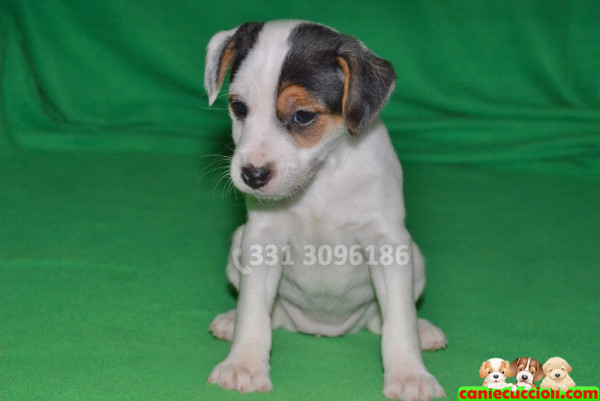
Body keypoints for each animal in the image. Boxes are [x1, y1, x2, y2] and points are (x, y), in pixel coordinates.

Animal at [205, 19, 446, 400]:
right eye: (239, 108)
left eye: (303, 115)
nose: (252, 175)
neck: (320, 180)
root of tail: (324, 328)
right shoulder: (261, 243)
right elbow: (253, 312)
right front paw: (243, 364)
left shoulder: (389, 247)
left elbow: (400, 320)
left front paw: (410, 374)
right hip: (237, 246)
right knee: (267, 314)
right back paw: (231, 320)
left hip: (414, 258)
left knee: (385, 319)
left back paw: (424, 331)